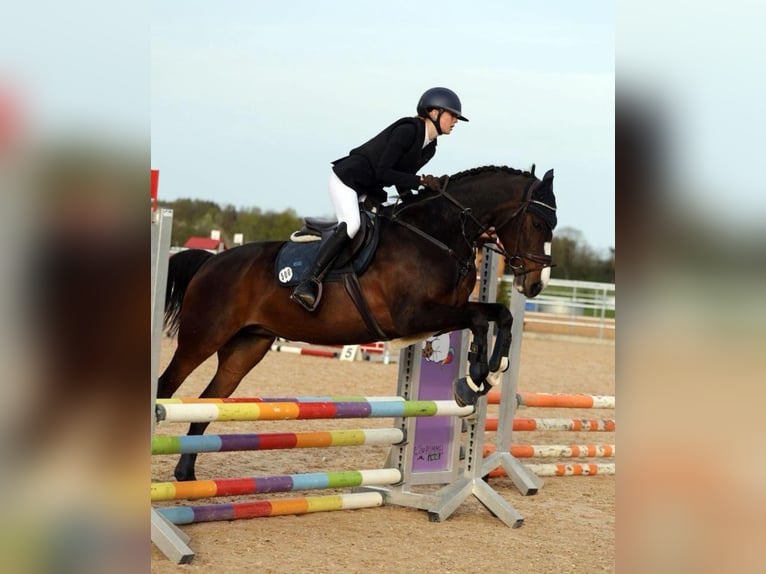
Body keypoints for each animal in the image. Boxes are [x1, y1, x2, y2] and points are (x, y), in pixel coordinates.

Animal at [159, 165, 560, 482]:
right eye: (539, 222)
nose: (534, 284)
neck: (437, 236)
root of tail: (211, 262)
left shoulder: (445, 311)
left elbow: (500, 314)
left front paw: (492, 370)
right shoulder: (414, 316)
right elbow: (478, 319)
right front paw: (474, 377)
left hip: (247, 346)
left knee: (209, 400)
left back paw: (186, 474)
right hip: (202, 337)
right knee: (167, 385)